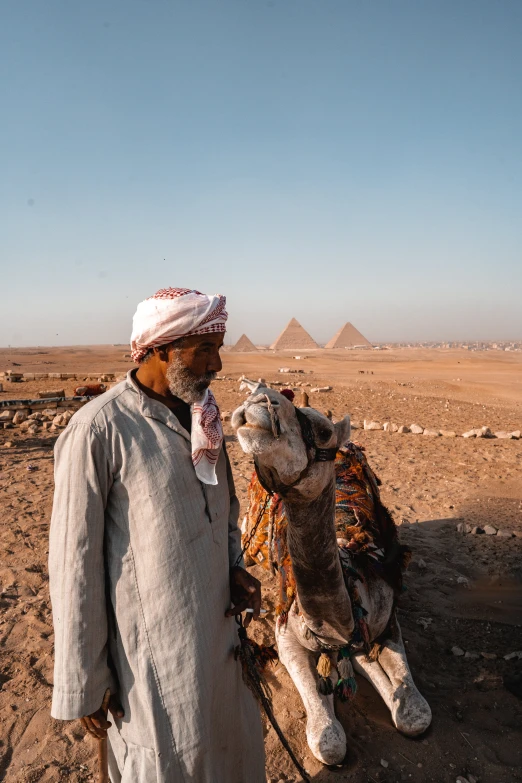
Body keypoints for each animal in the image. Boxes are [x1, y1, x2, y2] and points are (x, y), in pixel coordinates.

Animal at [232, 386, 430, 764]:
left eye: (323, 432)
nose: (260, 399)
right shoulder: (286, 634)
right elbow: (329, 741)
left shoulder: (387, 620)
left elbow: (416, 714)